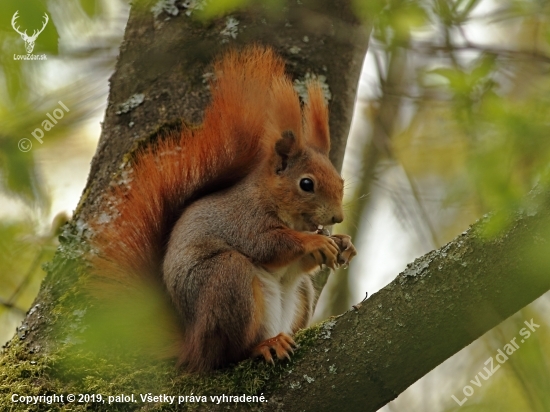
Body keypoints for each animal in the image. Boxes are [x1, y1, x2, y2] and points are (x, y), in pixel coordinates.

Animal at [90, 46, 358, 372]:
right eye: (306, 184)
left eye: (340, 180)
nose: (337, 218)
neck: (270, 198)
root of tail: (191, 344)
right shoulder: (244, 219)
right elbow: (268, 244)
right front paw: (316, 241)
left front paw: (344, 243)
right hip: (228, 280)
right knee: (228, 353)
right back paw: (263, 345)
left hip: (299, 294)